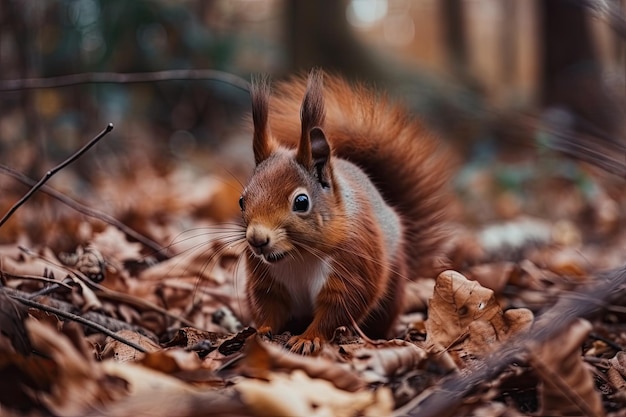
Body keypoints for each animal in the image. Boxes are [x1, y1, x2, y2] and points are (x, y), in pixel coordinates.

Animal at [238, 69, 448, 354]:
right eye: (242, 201)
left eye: (301, 202)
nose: (257, 240)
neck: (299, 257)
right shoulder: (267, 281)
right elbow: (270, 308)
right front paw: (261, 331)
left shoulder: (354, 265)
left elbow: (338, 309)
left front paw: (308, 339)